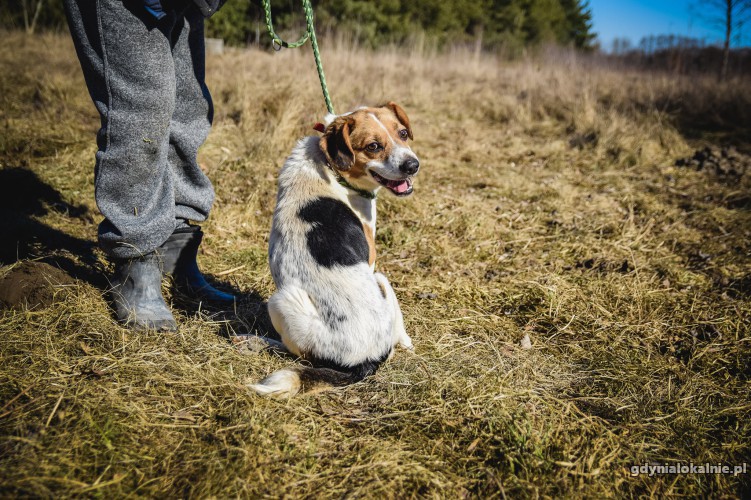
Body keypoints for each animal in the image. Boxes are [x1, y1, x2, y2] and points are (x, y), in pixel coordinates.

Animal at [250, 102, 420, 398]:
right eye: (373, 146)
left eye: (402, 133)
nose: (413, 166)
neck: (330, 168)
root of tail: (365, 360)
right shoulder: (371, 259)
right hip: (285, 300)